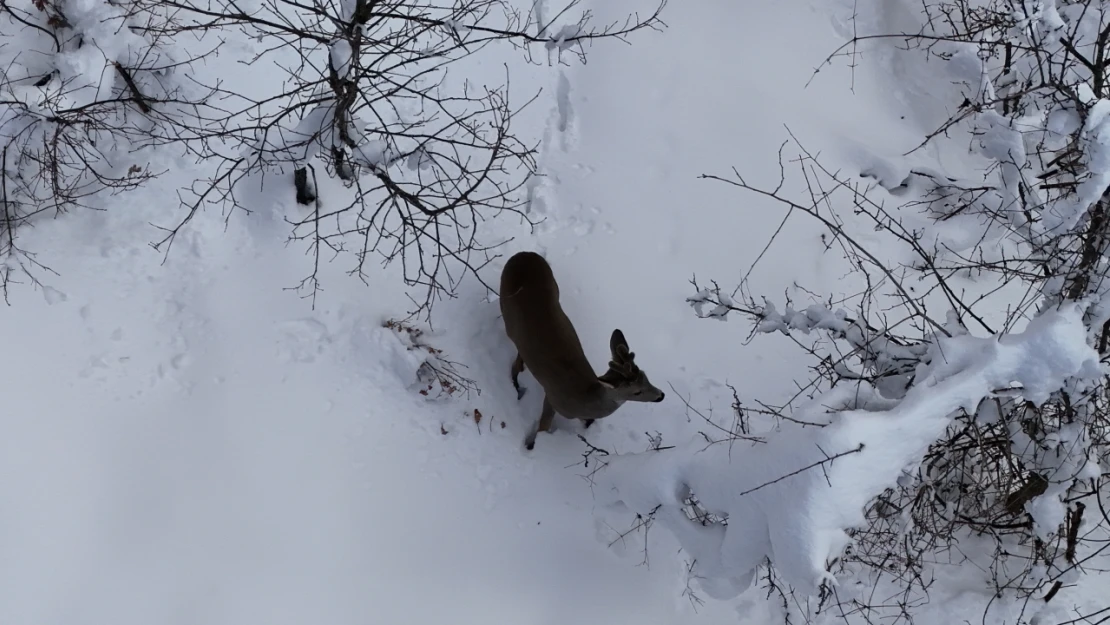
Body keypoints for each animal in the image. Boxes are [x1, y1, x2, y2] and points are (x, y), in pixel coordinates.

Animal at [499, 249, 661, 450]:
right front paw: (531, 446)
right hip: (507, 314)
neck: (583, 398)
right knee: (515, 357)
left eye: (646, 377)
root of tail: (523, 254)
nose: (660, 395)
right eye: (636, 392)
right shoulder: (553, 398)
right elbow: (543, 426)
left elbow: (587, 421)